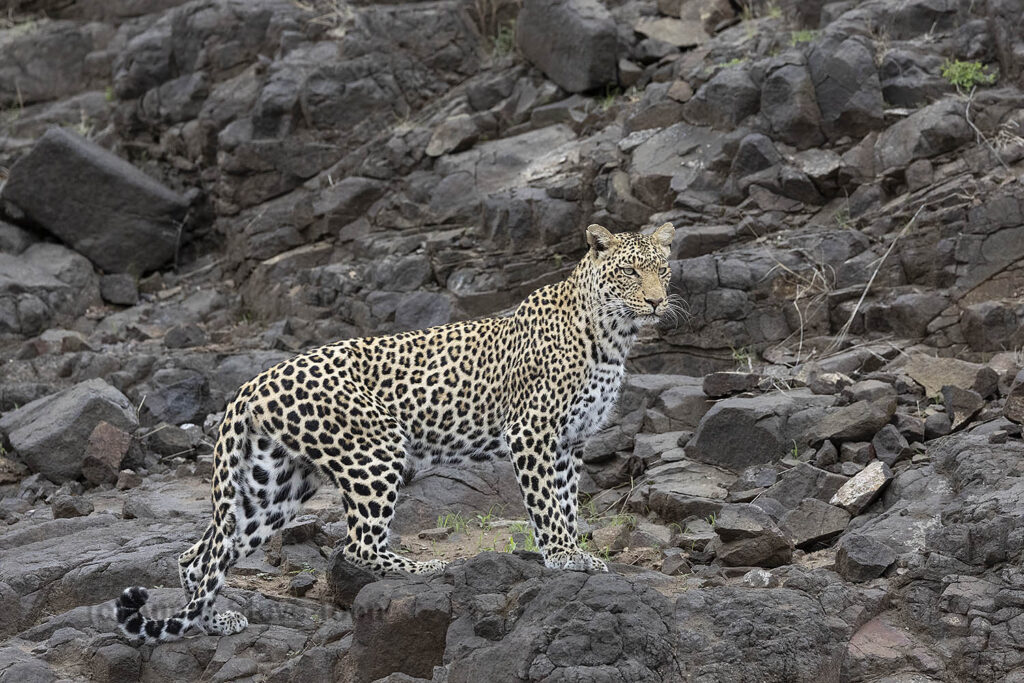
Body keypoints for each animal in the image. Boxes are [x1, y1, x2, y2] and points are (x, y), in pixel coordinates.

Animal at [116, 222, 677, 643]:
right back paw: (426, 569)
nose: (655, 302)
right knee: (356, 545)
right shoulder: (534, 433)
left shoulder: (571, 441)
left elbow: (567, 501)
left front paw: (574, 550)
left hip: (272, 484)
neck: (613, 335)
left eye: (662, 269)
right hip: (377, 448)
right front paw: (563, 557)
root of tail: (252, 382)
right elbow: (547, 505)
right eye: (630, 271)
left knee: (200, 555)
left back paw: (212, 621)